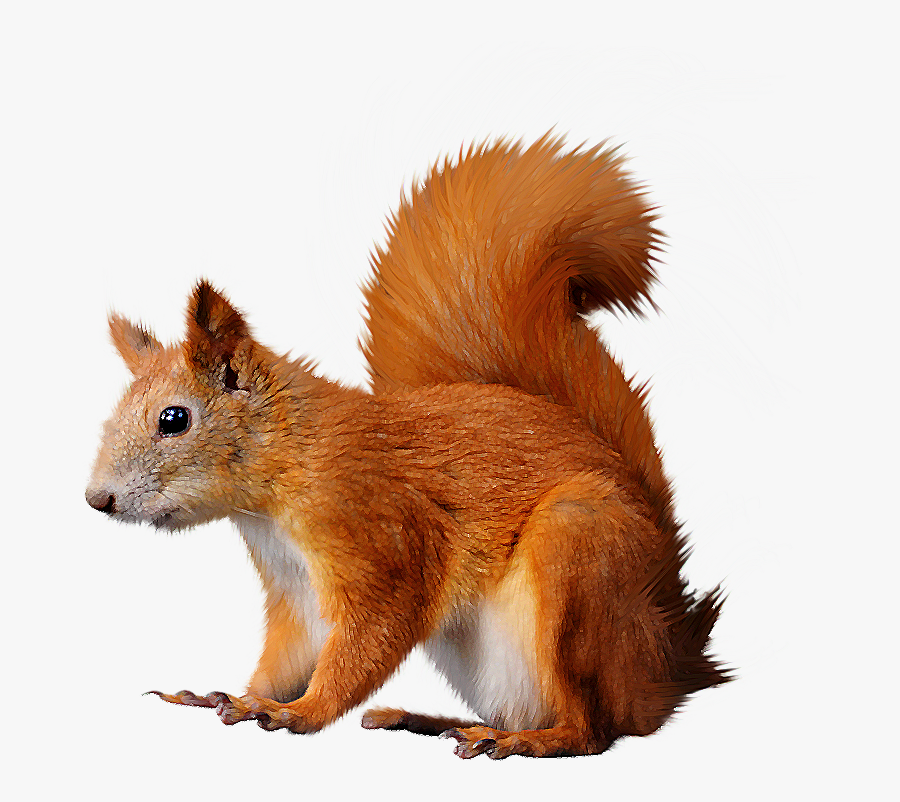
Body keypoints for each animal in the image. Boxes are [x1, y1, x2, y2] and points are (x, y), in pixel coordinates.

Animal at [86, 135, 729, 759]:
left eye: (174, 420)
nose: (98, 500)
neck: (285, 468)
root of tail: (664, 665)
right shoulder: (293, 588)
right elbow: (289, 653)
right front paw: (242, 697)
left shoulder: (379, 535)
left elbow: (372, 634)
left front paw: (301, 712)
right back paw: (430, 720)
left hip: (579, 558)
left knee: (593, 729)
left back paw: (524, 740)